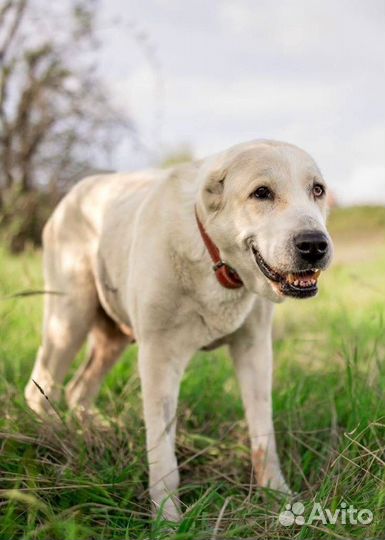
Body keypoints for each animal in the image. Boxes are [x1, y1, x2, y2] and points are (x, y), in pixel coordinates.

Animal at [24, 141, 332, 520]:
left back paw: (95, 432)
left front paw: (279, 497)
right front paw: (167, 520)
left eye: (317, 190)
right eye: (261, 193)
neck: (216, 262)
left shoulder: (255, 348)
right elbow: (163, 457)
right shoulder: (159, 357)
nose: (315, 244)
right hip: (69, 320)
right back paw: (50, 444)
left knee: (78, 390)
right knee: (41, 387)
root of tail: (75, 192)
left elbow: (264, 436)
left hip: (111, 337)